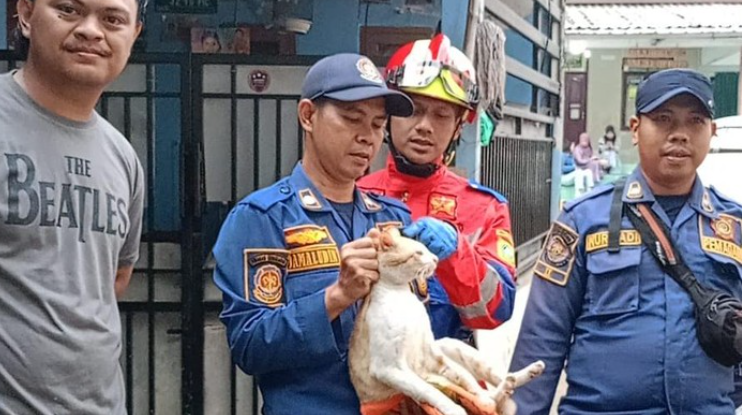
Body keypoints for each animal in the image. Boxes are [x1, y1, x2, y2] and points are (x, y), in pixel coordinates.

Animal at [348, 228, 548, 415]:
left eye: (427, 249)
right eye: (419, 253)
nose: (436, 258)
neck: (401, 293)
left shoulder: (433, 354)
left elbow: (465, 378)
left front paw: (479, 399)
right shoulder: (389, 368)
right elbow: (429, 391)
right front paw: (455, 409)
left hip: (451, 345)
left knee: (492, 388)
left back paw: (524, 374)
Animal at [360, 35, 516, 342]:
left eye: (441, 114)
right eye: (416, 109)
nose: (423, 130)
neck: (414, 176)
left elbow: (502, 285)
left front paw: (441, 235)